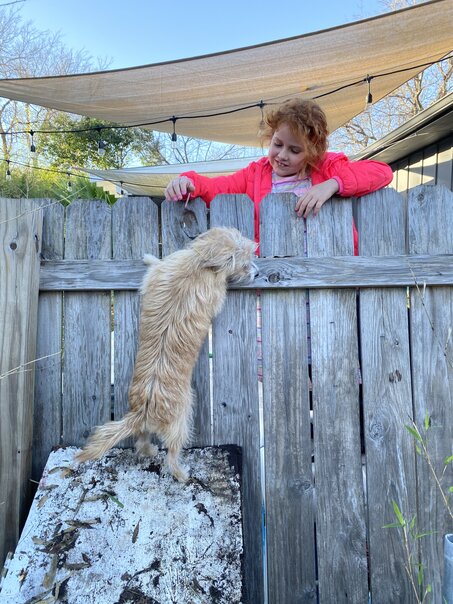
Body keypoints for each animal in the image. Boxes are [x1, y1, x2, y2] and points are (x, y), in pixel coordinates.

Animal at [76, 227, 257, 481]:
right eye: (244, 263)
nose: (257, 273)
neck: (200, 263)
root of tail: (142, 413)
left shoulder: (158, 272)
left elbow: (154, 265)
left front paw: (148, 258)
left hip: (145, 429)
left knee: (141, 441)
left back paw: (150, 450)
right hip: (182, 421)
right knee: (171, 454)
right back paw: (182, 474)